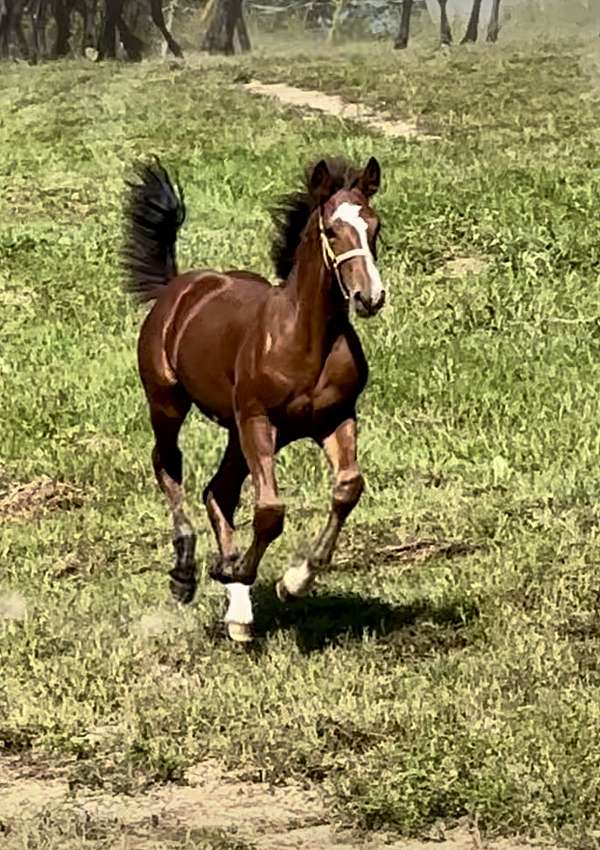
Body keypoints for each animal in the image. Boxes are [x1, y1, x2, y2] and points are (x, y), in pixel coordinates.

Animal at [121, 154, 384, 644]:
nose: (370, 296)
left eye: (375, 226)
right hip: (170, 404)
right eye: (331, 230)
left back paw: (238, 614)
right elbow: (270, 511)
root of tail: (176, 288)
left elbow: (347, 488)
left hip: (237, 431)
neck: (304, 339)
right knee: (167, 464)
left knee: (218, 492)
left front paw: (295, 580)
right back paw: (186, 573)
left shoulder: (336, 418)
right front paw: (238, 571)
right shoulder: (258, 420)